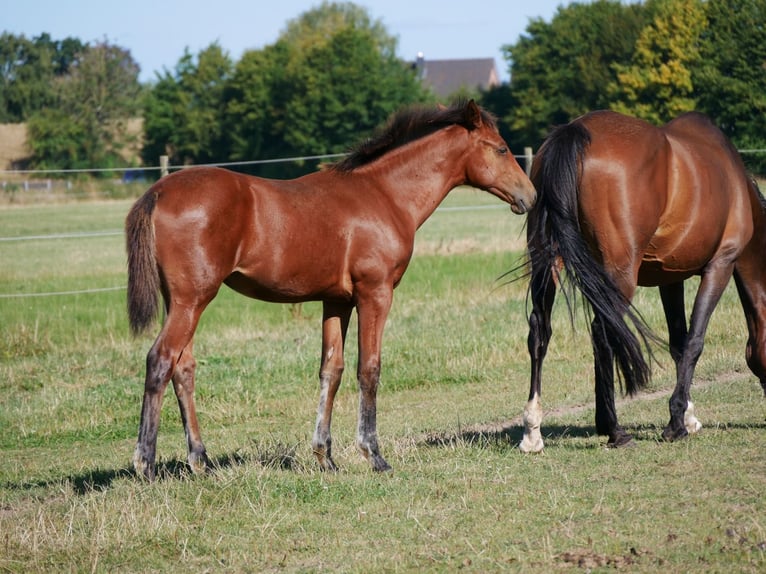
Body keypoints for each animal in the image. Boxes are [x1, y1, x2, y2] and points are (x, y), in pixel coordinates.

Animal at [125, 99, 537, 480]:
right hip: (193, 300)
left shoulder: (336, 301)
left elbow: (331, 369)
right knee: (160, 360)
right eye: (501, 149)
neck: (385, 195)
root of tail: (158, 192)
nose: (530, 196)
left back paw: (201, 461)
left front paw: (325, 457)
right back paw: (145, 464)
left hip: (182, 302)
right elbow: (368, 368)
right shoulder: (375, 293)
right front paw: (374, 455)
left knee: (184, 368)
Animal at [520, 109, 766, 453]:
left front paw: (688, 416)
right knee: (603, 332)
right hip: (620, 274)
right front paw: (676, 423)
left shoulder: (671, 278)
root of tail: (575, 131)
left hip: (547, 261)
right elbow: (694, 341)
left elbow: (678, 342)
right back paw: (615, 431)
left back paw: (533, 431)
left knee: (540, 330)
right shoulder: (721, 265)